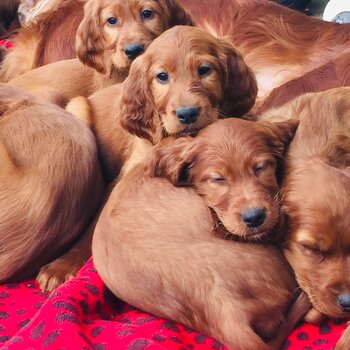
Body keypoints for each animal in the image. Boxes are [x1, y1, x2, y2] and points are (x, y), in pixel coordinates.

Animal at [37, 24, 258, 292]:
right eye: (162, 76)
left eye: (205, 70)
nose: (187, 114)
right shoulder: (120, 182)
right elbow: (92, 227)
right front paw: (63, 265)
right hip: (77, 108)